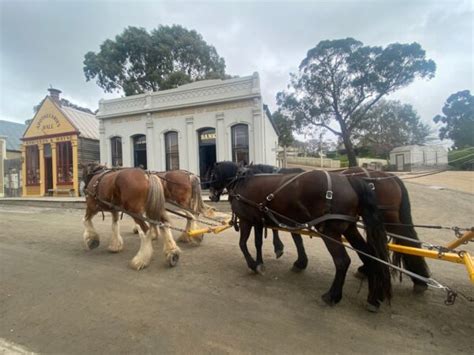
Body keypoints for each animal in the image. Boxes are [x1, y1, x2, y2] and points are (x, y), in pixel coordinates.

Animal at [228, 168, 390, 310]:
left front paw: (253, 264)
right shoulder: (259, 221)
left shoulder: (246, 220)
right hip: (350, 229)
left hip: (330, 232)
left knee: (342, 261)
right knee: (370, 257)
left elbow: (243, 244)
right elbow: (259, 243)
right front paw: (261, 263)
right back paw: (373, 298)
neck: (242, 181)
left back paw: (332, 296)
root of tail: (348, 180)